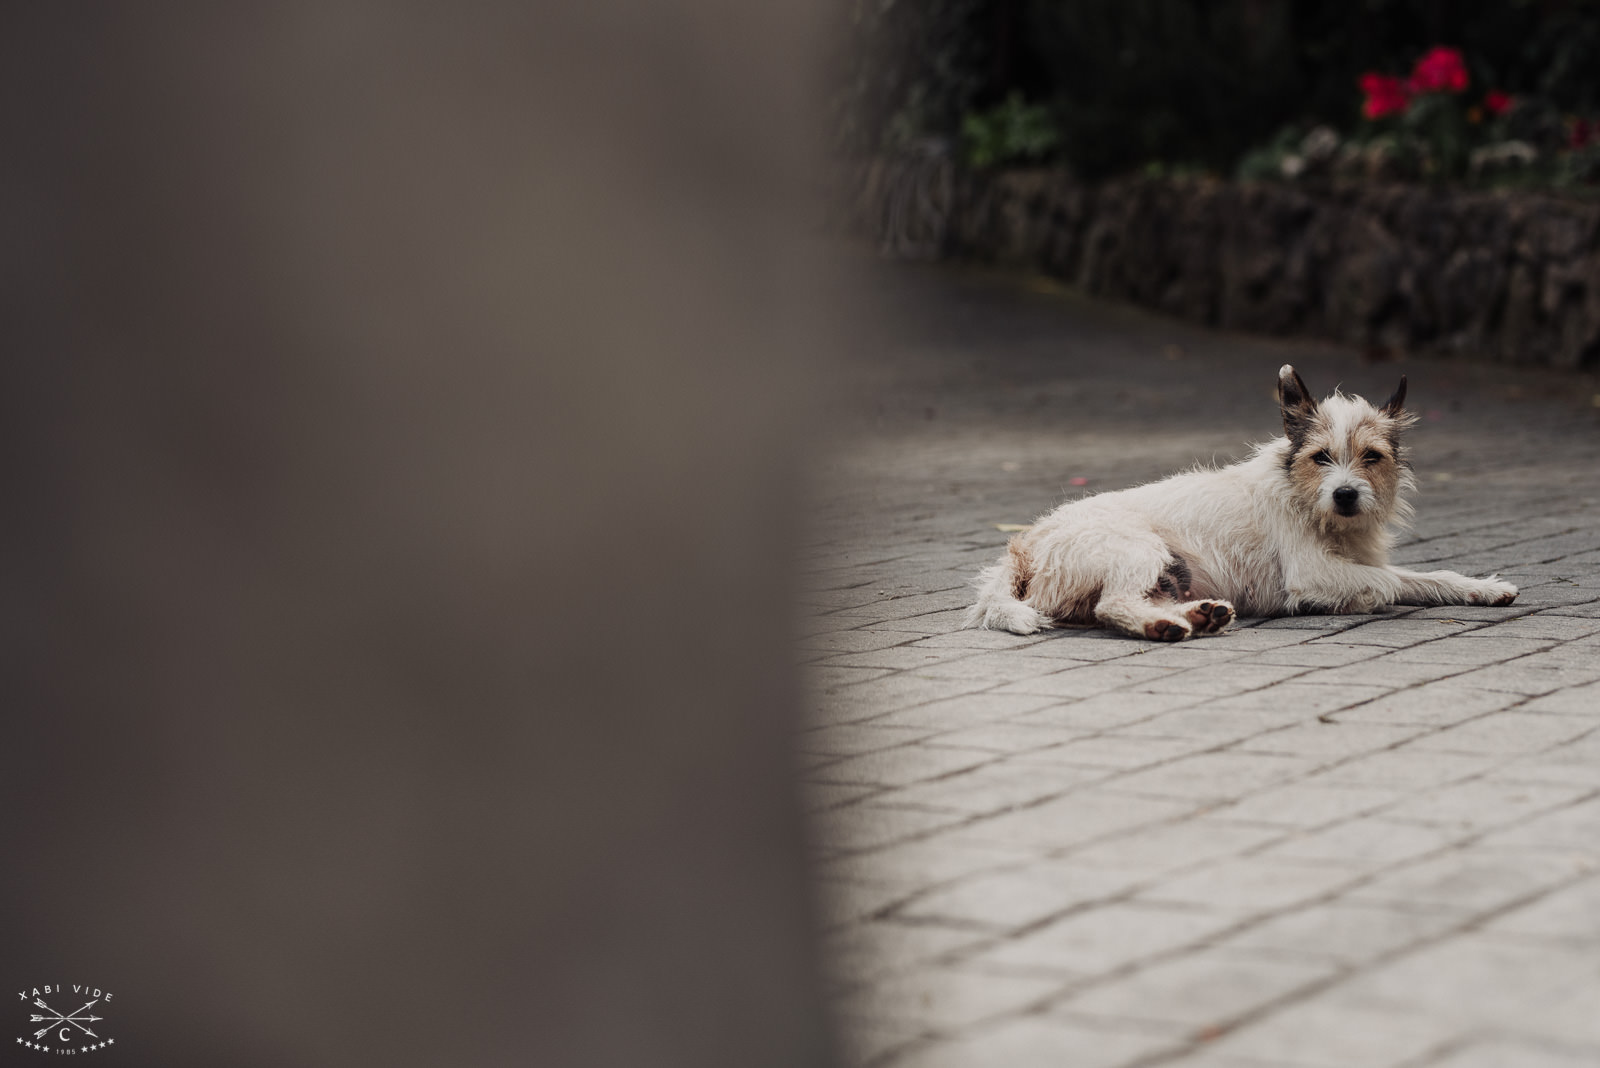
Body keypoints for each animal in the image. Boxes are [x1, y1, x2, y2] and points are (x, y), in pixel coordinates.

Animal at [966, 364, 1516, 642]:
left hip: (1171, 570)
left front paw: (1481, 588)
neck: (1304, 497)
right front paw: (1345, 601)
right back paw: (1166, 626)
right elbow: (1386, 584)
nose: (1345, 494)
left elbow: (1424, 578)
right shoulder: (1313, 571)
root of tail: (1025, 545)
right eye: (1321, 457)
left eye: (1372, 456)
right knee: (1111, 606)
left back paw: (1199, 616)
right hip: (1138, 551)